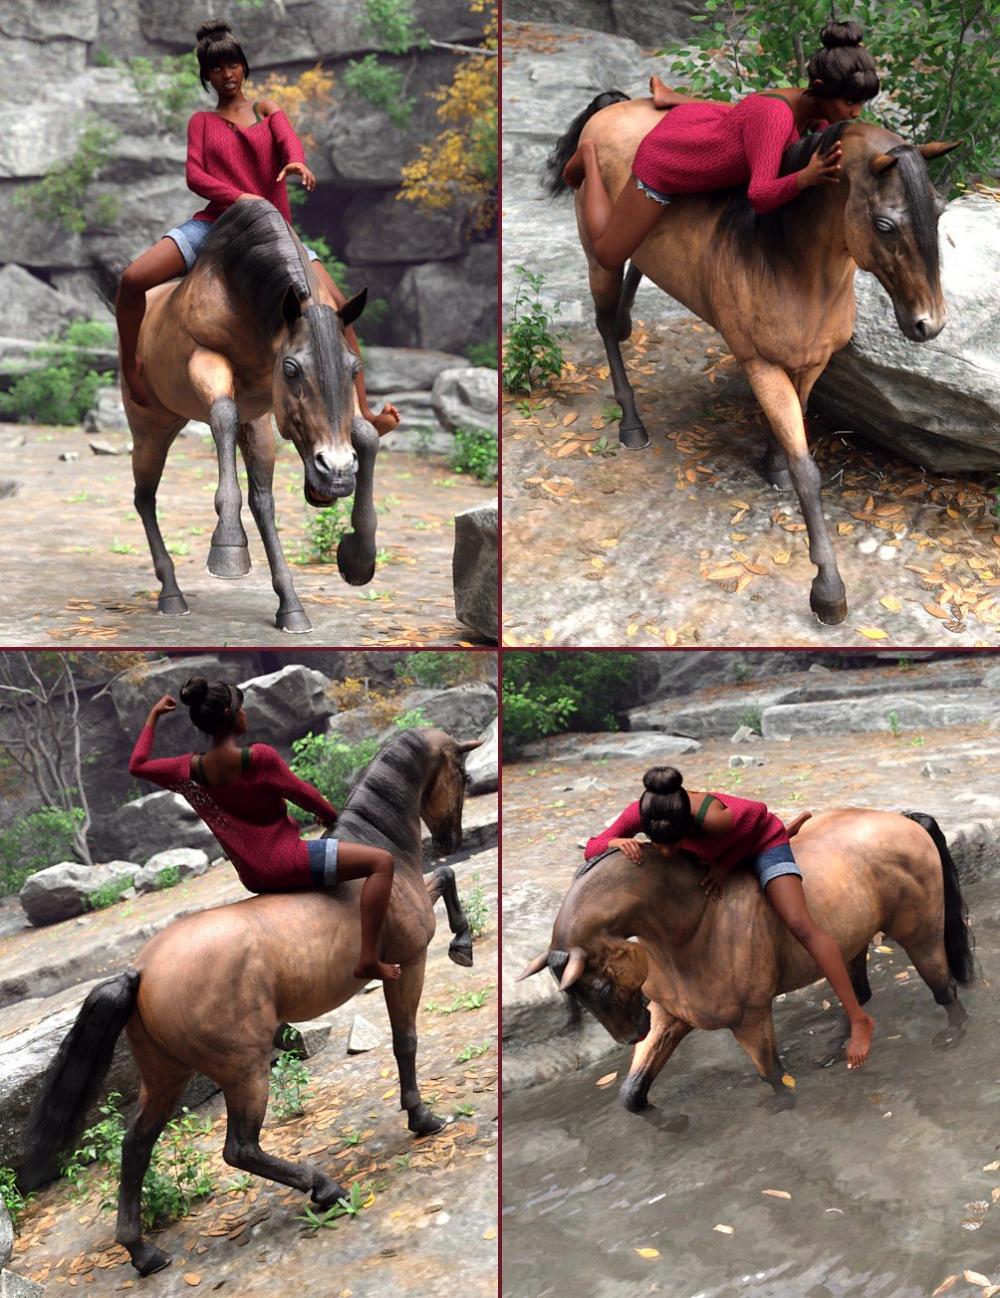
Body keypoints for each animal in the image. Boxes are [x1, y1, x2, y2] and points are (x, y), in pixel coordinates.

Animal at [20, 726, 483, 1275]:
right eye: (463, 776)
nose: (452, 840)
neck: (379, 848)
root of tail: (141, 971)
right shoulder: (409, 963)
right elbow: (405, 1040)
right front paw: (422, 1116)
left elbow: (445, 878)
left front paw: (463, 943)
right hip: (244, 1069)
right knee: (239, 1149)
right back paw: (323, 1187)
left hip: (166, 1075)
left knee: (136, 1144)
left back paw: (143, 1252)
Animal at [122, 196, 379, 634]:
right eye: (291, 369)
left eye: (354, 368)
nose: (335, 473)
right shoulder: (205, 358)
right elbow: (222, 414)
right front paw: (227, 546)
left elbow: (367, 436)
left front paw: (359, 556)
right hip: (151, 431)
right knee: (145, 497)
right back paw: (171, 593)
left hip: (256, 429)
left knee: (263, 502)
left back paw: (291, 607)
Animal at [518, 808, 973, 1114]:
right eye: (579, 998)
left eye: (602, 986)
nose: (632, 1034)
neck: (691, 924)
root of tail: (903, 818)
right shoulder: (669, 1015)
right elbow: (631, 1093)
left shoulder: (749, 1017)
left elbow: (772, 1076)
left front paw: (783, 1101)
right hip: (851, 939)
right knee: (857, 994)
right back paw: (839, 1048)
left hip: (919, 932)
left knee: (942, 982)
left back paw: (954, 1033)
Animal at [546, 94, 961, 625]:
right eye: (885, 224)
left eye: (939, 210)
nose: (929, 324)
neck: (786, 259)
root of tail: (612, 108)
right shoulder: (759, 363)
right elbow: (808, 471)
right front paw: (828, 589)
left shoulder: (811, 363)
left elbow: (793, 428)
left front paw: (773, 463)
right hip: (599, 253)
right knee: (603, 320)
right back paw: (631, 422)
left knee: (632, 277)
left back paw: (625, 324)